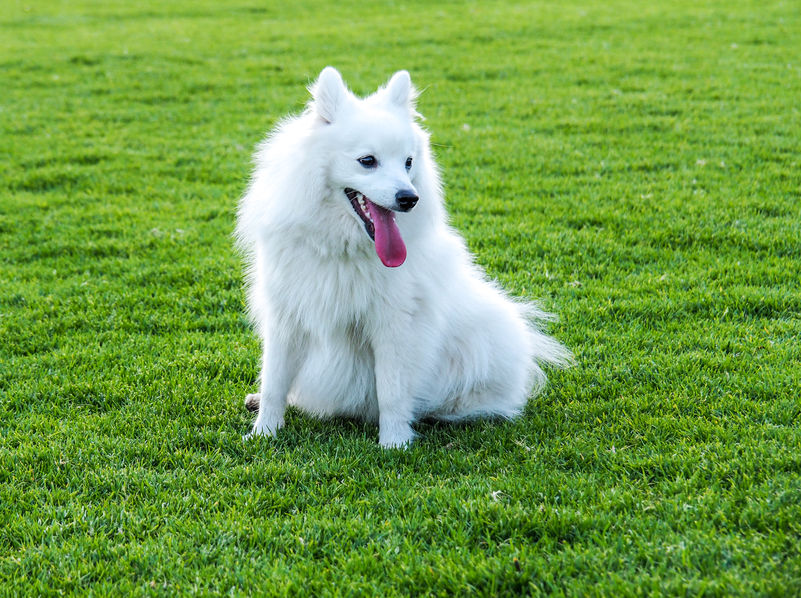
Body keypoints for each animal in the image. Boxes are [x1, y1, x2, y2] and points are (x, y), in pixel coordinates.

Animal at [238, 68, 568, 448]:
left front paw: (394, 443)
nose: (409, 198)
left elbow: (392, 391)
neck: (342, 247)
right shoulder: (286, 317)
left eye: (408, 162)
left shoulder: (393, 325)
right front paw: (264, 432)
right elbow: (274, 382)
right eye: (368, 161)